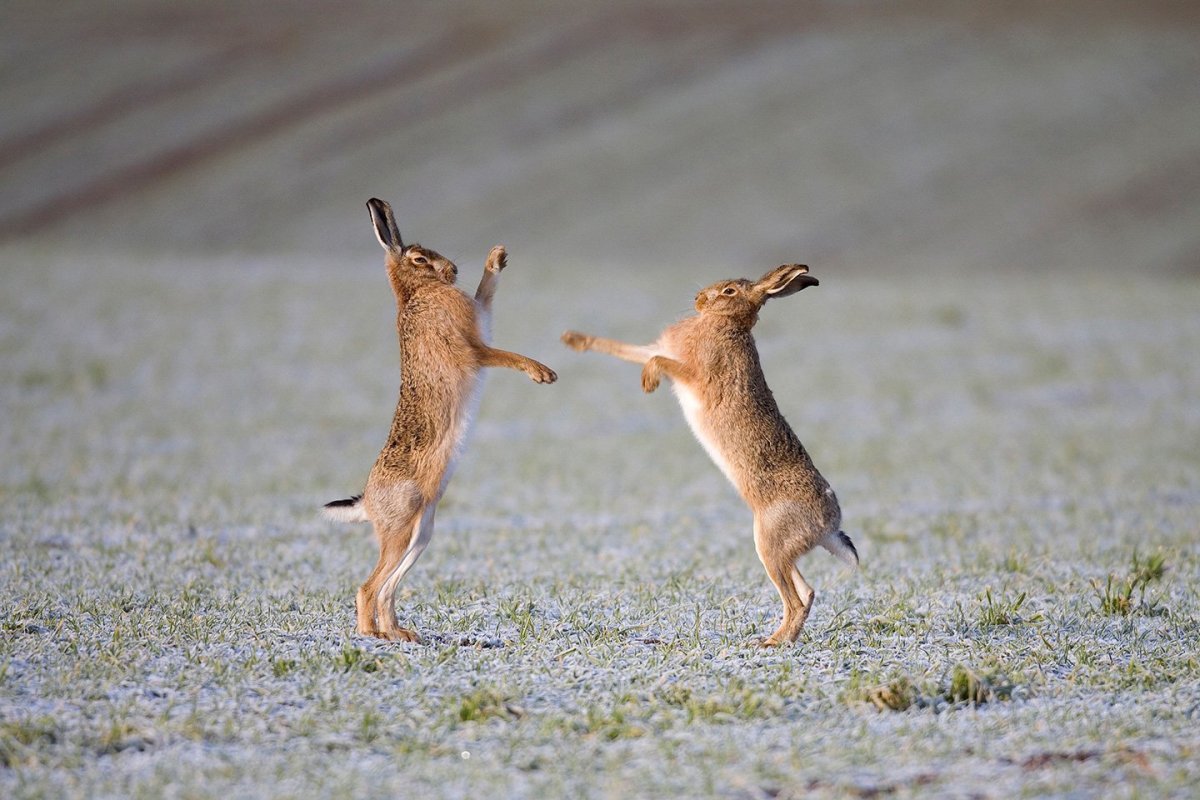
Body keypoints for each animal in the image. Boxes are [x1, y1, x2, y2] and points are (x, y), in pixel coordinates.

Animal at [324, 198, 556, 642]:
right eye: (419, 258)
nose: (452, 269)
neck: (416, 293)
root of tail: (368, 499)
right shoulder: (471, 348)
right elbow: (498, 353)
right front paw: (542, 373)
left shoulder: (478, 318)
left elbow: (486, 294)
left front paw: (496, 256)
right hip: (400, 526)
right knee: (367, 587)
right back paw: (372, 636)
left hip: (422, 531)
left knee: (388, 587)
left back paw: (401, 634)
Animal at [561, 264, 856, 646]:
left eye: (729, 291)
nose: (698, 299)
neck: (726, 324)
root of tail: (830, 525)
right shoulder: (661, 349)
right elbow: (624, 348)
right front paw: (572, 339)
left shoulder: (695, 372)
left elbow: (656, 359)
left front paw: (648, 382)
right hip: (782, 553)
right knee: (807, 593)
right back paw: (779, 639)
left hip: (770, 544)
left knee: (796, 598)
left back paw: (771, 643)